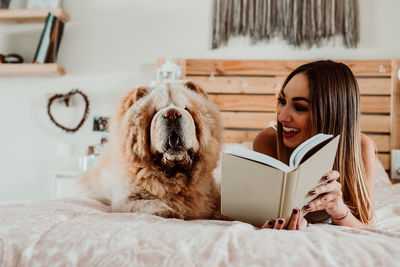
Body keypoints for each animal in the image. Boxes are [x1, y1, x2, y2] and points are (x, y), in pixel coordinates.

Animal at [78, 81, 222, 220]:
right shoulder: (125, 199)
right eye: (155, 112)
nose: (172, 114)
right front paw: (170, 212)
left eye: (186, 109)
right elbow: (148, 202)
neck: (173, 175)